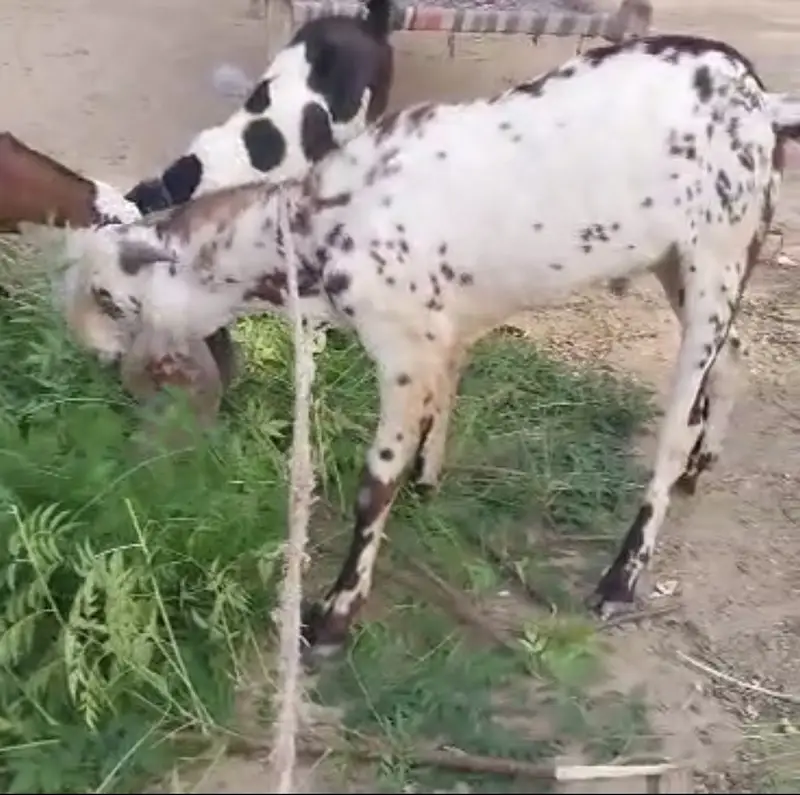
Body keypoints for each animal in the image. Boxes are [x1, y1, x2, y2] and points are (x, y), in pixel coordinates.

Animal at [51, 33, 800, 658]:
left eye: (108, 296)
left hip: (717, 254)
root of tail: (759, 99)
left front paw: (333, 617)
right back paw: (703, 464)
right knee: (730, 361)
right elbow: (440, 406)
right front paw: (427, 479)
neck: (326, 225)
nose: (91, 357)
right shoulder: (440, 332)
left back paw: (622, 576)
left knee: (675, 425)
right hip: (685, 265)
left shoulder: (403, 353)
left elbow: (372, 486)